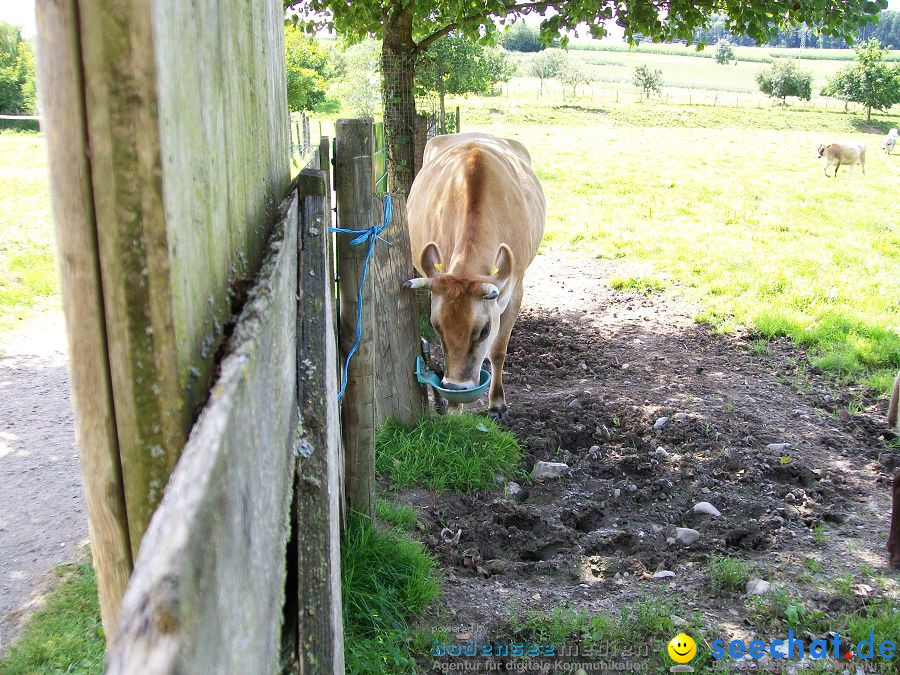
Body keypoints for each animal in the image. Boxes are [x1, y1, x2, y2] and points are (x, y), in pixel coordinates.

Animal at [406, 132, 544, 418]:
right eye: (436, 326)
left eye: (484, 330)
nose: (455, 387)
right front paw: (454, 408)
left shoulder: (516, 288)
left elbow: (498, 350)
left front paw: (497, 403)